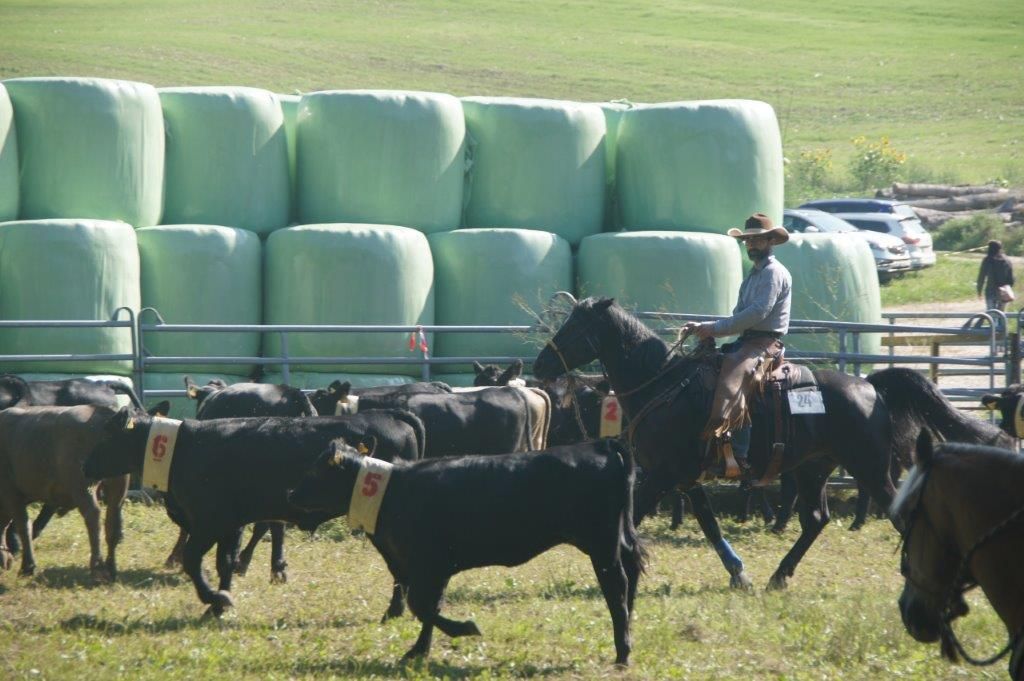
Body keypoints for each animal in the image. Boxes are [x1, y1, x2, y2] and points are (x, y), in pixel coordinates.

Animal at [533, 296, 1011, 589]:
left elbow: (633, 517)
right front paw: (738, 574)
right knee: (815, 519)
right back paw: (779, 575)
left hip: (871, 469)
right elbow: (708, 522)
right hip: (814, 468)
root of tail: (871, 386)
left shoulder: (662, 474)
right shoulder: (686, 477)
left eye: (575, 327)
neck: (663, 384)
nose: (540, 364)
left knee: (896, 513)